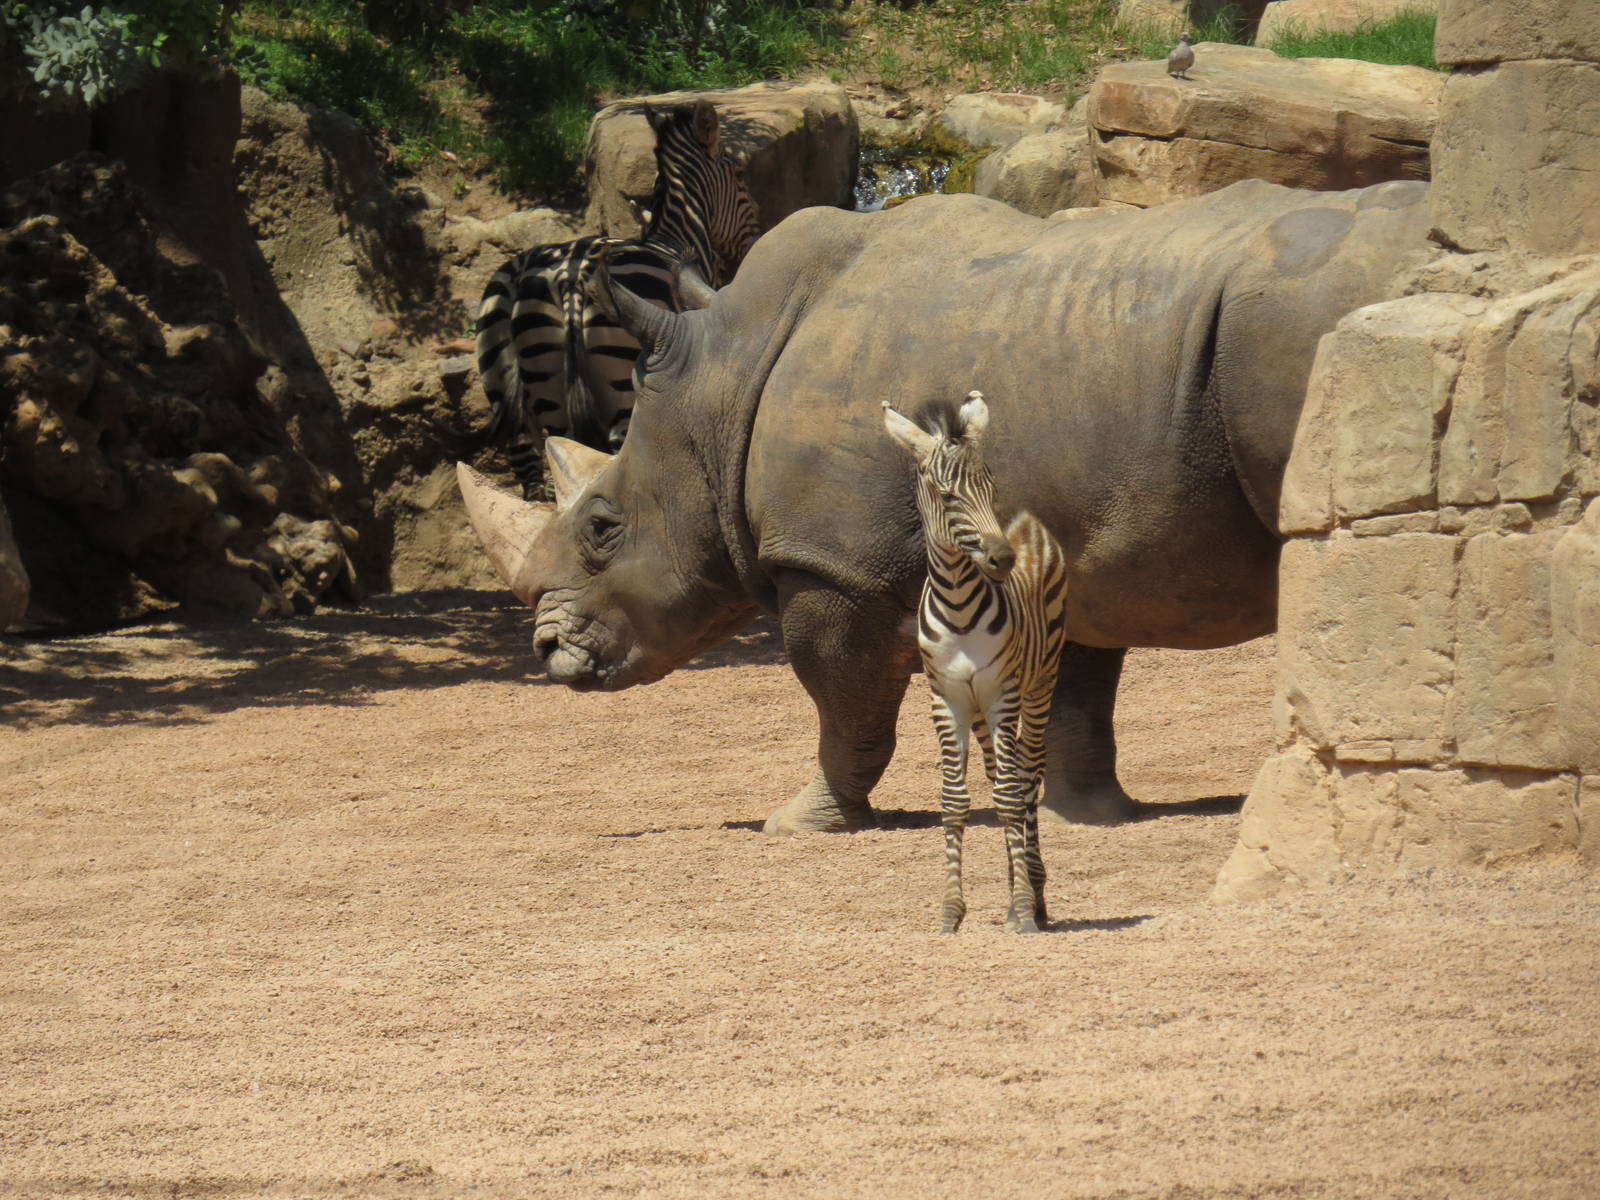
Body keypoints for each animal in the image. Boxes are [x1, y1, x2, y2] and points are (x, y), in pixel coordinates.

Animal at [458, 179, 1430, 835]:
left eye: (603, 528)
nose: (549, 652)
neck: (720, 389)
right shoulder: (1070, 529)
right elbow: (1073, 689)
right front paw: (1083, 812)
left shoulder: (833, 567)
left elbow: (843, 699)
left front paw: (801, 822)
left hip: (1303, 321)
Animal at [474, 99, 760, 499]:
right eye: (738, 174)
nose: (757, 236)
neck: (677, 237)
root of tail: (570, 274)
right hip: (624, 385)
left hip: (523, 386)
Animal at [882, 391, 1069, 934]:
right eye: (947, 496)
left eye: (992, 487)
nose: (1002, 559)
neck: (961, 607)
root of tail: (1026, 523)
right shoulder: (946, 698)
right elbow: (955, 800)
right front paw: (951, 911)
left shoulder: (1002, 692)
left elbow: (1009, 794)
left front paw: (1024, 908)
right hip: (981, 709)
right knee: (1001, 772)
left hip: (1039, 683)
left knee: (1027, 774)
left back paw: (1034, 892)